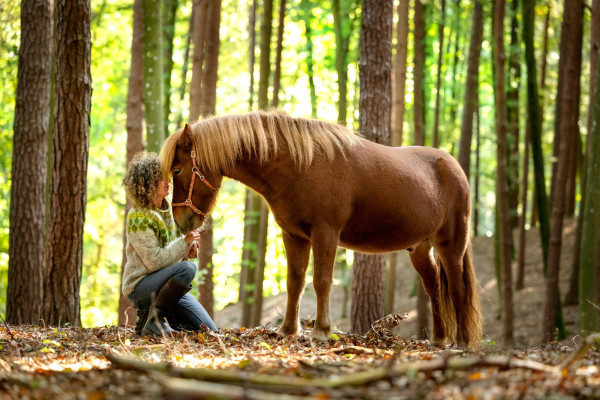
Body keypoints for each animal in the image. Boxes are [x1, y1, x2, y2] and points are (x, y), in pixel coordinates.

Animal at [158, 109, 482, 346]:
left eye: (178, 169)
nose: (182, 221)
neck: (301, 166)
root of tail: (454, 166)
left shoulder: (325, 234)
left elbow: (321, 281)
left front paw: (322, 330)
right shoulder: (294, 236)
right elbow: (295, 282)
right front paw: (288, 330)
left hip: (451, 245)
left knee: (457, 290)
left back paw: (463, 343)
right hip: (421, 249)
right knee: (434, 289)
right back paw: (439, 340)